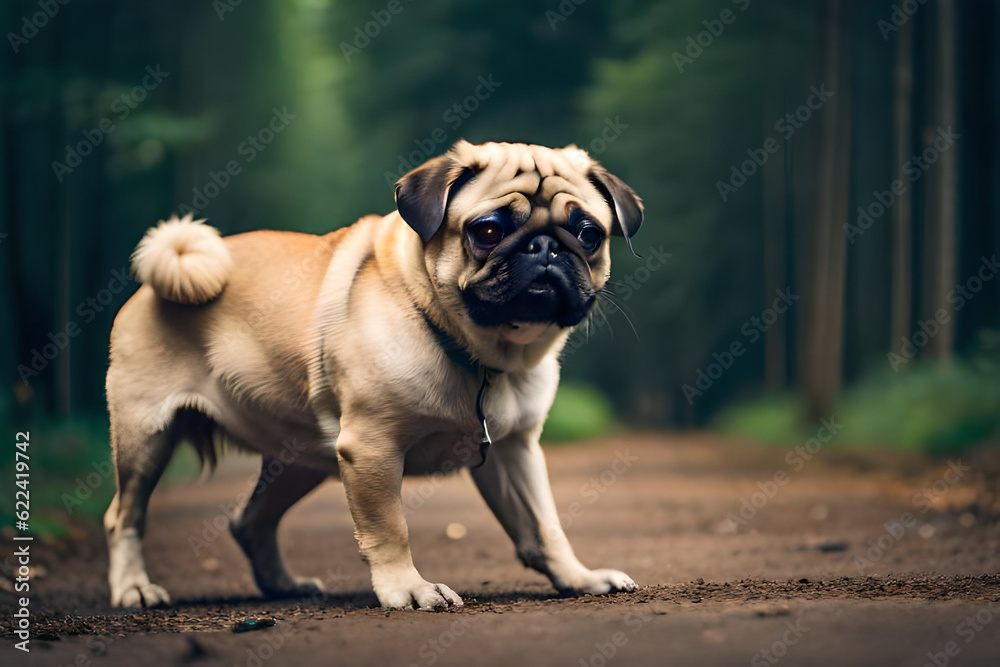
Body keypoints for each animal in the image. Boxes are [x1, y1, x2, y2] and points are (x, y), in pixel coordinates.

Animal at [105, 141, 644, 612]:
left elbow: (546, 525)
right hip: (146, 438)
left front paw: (578, 577)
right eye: (488, 232)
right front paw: (408, 589)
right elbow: (389, 528)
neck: (486, 356)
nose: (545, 246)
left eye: (589, 234)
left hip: (301, 460)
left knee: (249, 521)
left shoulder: (516, 450)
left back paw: (283, 585)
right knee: (124, 517)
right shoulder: (372, 448)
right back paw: (134, 589)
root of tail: (152, 284)